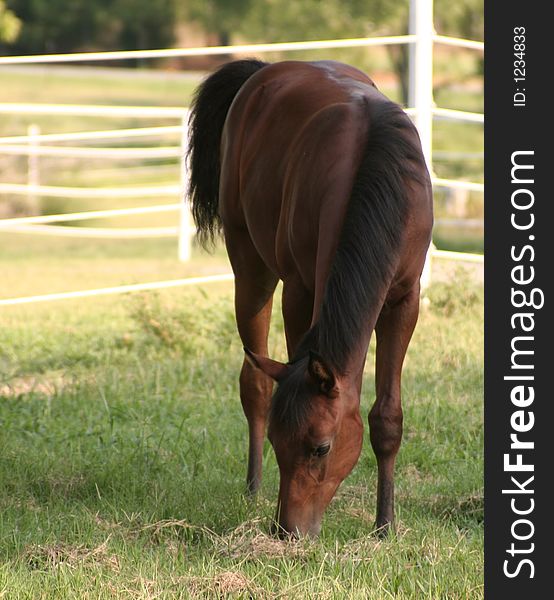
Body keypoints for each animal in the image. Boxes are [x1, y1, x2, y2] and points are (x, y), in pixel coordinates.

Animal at [188, 59, 434, 540]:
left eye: (320, 448)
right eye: (277, 440)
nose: (289, 531)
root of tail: (268, 69)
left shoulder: (404, 300)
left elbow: (387, 418)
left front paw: (384, 525)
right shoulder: (300, 291)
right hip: (251, 270)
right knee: (255, 381)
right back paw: (252, 487)